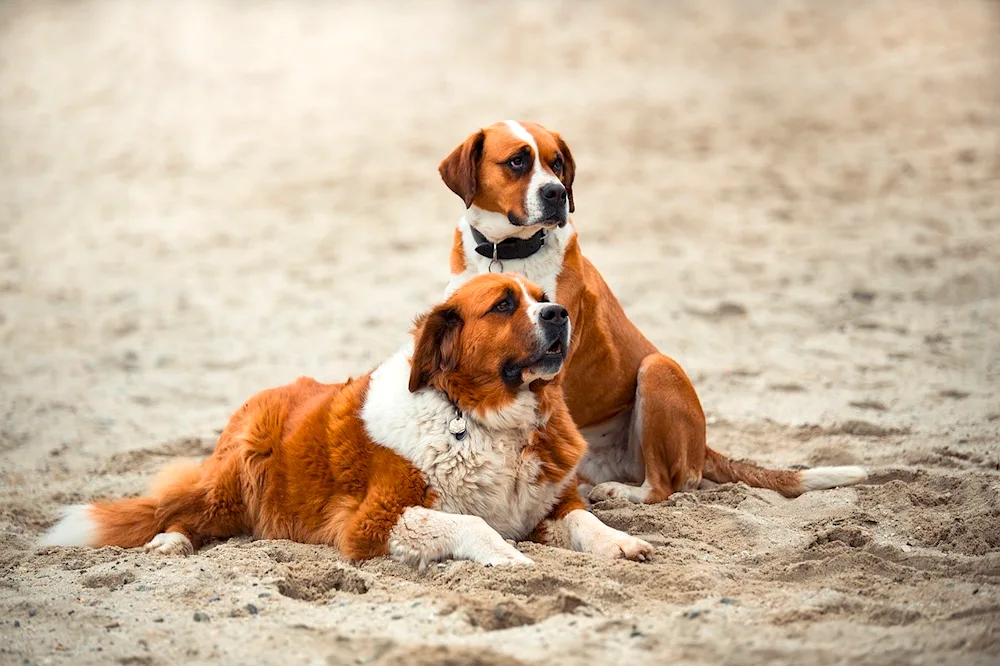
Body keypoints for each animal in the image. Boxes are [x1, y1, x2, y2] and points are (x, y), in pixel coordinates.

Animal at [43, 272, 656, 564]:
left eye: (541, 295)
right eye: (504, 305)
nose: (560, 314)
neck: (483, 419)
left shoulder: (549, 502)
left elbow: (584, 520)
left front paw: (620, 542)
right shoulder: (374, 521)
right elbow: (472, 523)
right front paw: (507, 554)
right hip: (235, 479)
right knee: (181, 510)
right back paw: (171, 542)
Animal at [438, 120, 868, 504]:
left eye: (557, 163)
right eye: (517, 162)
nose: (557, 193)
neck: (508, 250)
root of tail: (703, 447)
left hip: (658, 369)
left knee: (663, 486)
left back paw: (621, 492)